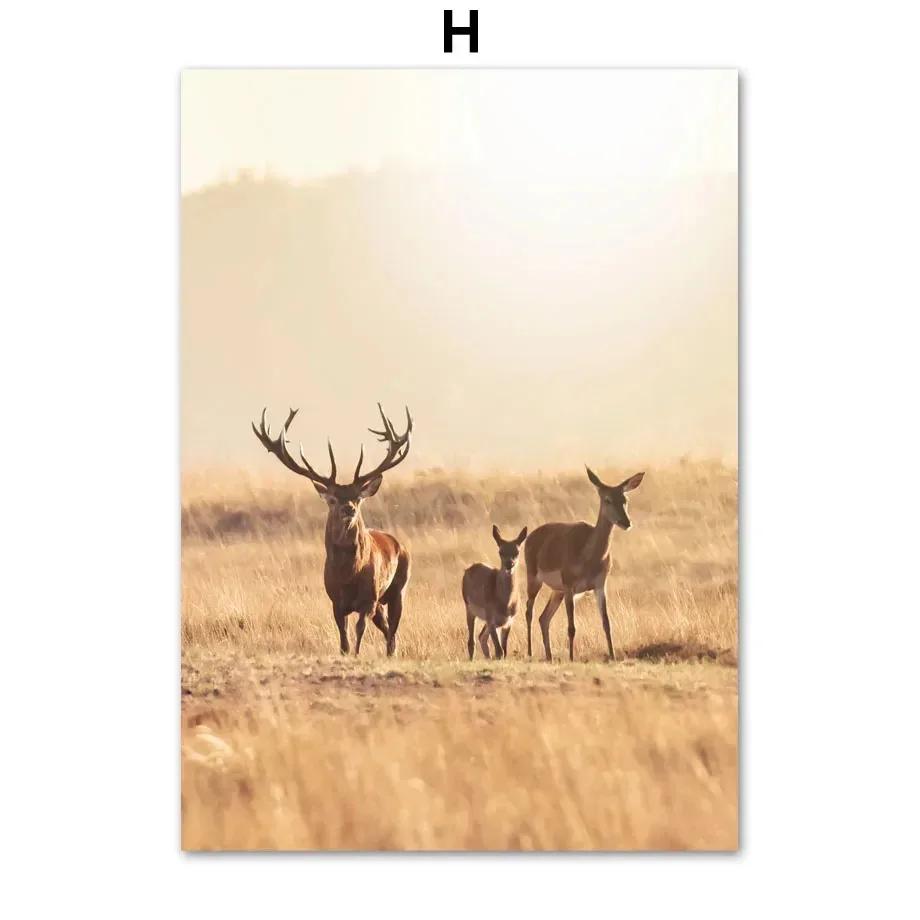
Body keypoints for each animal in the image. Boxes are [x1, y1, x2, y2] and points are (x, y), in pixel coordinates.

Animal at [251, 403, 413, 657]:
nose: (349, 508)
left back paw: (391, 653)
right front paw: (346, 653)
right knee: (388, 629)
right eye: (333, 499)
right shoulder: (335, 601)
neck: (348, 574)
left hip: (398, 589)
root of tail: (399, 543)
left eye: (358, 497)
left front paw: (357, 654)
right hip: (379, 603)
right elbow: (343, 638)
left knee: (393, 630)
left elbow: (359, 629)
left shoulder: (368, 599)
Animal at [461, 525, 528, 660]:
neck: (505, 603)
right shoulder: (491, 620)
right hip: (470, 610)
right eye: (500, 551)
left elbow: (504, 651)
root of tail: (468, 569)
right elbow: (499, 651)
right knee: (471, 641)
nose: (509, 564)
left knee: (482, 637)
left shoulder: (507, 622)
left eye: (517, 551)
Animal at [524, 467, 645, 662]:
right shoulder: (570, 588)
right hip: (535, 581)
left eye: (625, 499)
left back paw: (549, 657)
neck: (588, 556)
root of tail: (531, 535)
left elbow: (606, 623)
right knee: (529, 611)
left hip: (557, 592)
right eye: (607, 499)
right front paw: (572, 658)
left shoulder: (599, 587)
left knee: (544, 618)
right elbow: (571, 627)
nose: (626, 522)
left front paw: (612, 656)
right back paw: (530, 653)